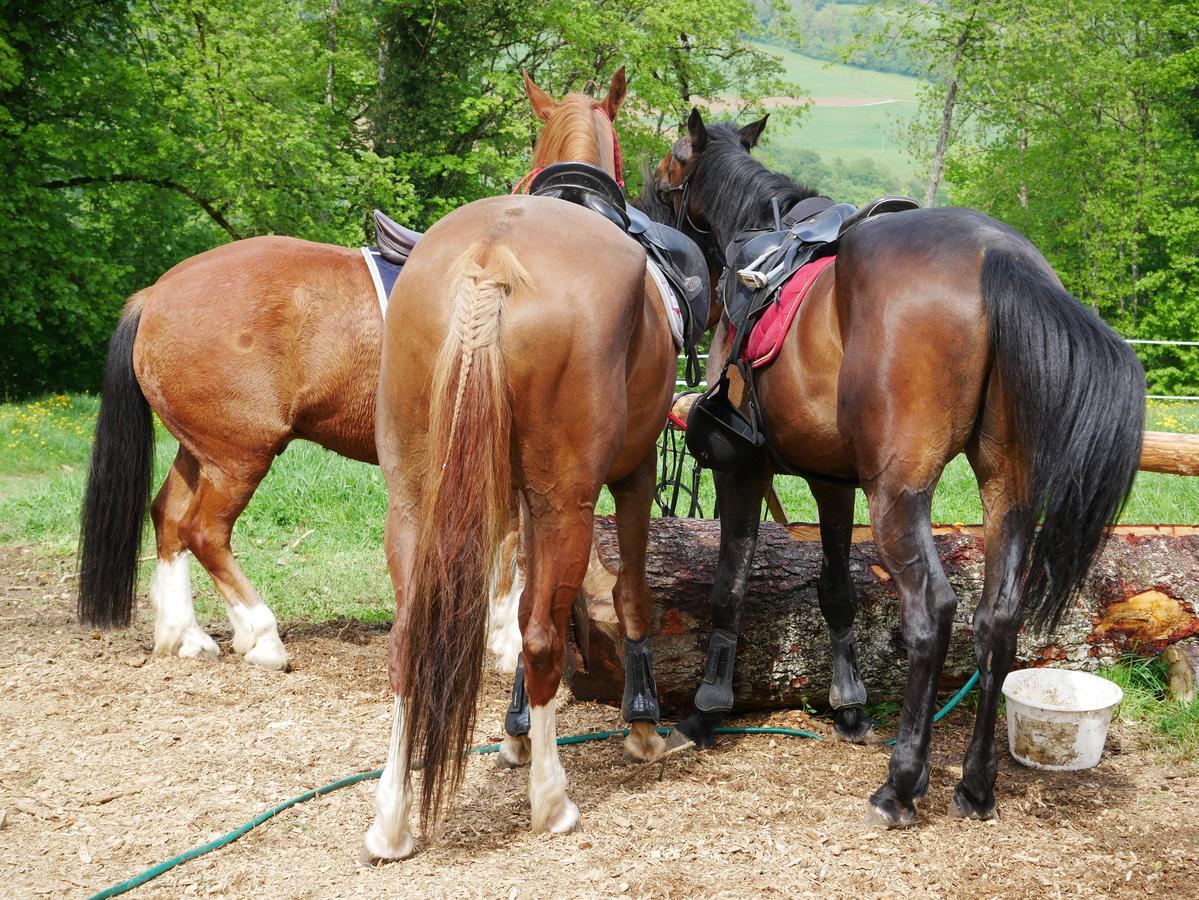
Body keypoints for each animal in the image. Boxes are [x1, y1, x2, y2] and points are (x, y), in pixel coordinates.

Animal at [359, 70, 690, 858]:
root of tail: (490, 262)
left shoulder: (518, 497)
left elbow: (522, 600)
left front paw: (510, 732)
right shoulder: (627, 474)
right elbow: (624, 596)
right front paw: (640, 721)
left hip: (414, 500)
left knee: (407, 640)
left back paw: (391, 818)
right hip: (570, 499)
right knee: (541, 638)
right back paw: (552, 799)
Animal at [657, 110, 1141, 829]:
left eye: (666, 170)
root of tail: (998, 256)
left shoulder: (742, 468)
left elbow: (729, 586)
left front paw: (705, 711)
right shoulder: (831, 479)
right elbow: (835, 589)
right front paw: (850, 705)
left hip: (898, 495)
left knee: (932, 612)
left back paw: (901, 783)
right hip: (1007, 491)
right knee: (996, 621)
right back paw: (975, 784)